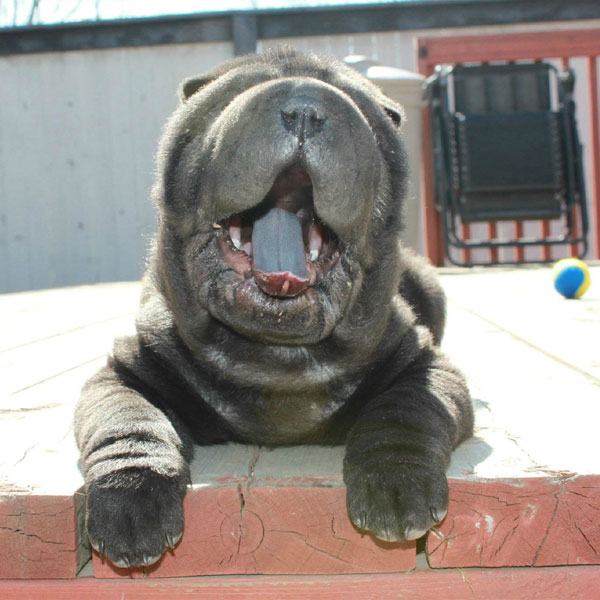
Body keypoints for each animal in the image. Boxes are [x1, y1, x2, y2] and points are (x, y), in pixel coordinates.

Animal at [74, 47, 474, 568]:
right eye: (233, 96)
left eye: (359, 111)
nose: (306, 108)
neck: (271, 356)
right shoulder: (127, 368)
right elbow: (129, 423)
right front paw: (130, 502)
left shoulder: (423, 361)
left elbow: (405, 409)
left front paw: (397, 486)